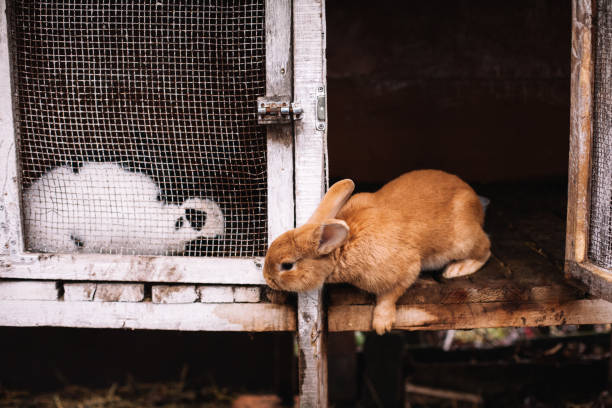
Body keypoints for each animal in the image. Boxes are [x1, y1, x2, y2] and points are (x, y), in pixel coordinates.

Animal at [262, 169, 488, 334]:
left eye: (287, 265)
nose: (266, 278)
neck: (343, 246)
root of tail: (477, 204)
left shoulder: (406, 268)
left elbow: (390, 294)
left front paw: (381, 325)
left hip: (463, 240)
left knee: (485, 249)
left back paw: (457, 269)